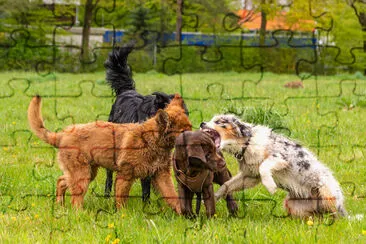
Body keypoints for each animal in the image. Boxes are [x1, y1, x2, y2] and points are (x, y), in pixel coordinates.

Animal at [27, 94, 192, 213]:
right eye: (183, 132)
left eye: (190, 127)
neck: (152, 141)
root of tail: (62, 135)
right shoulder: (125, 176)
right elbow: (121, 199)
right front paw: (123, 216)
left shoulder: (161, 175)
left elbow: (172, 195)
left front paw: (182, 213)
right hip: (82, 175)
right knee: (75, 200)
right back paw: (79, 213)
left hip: (86, 173)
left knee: (61, 181)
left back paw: (60, 205)